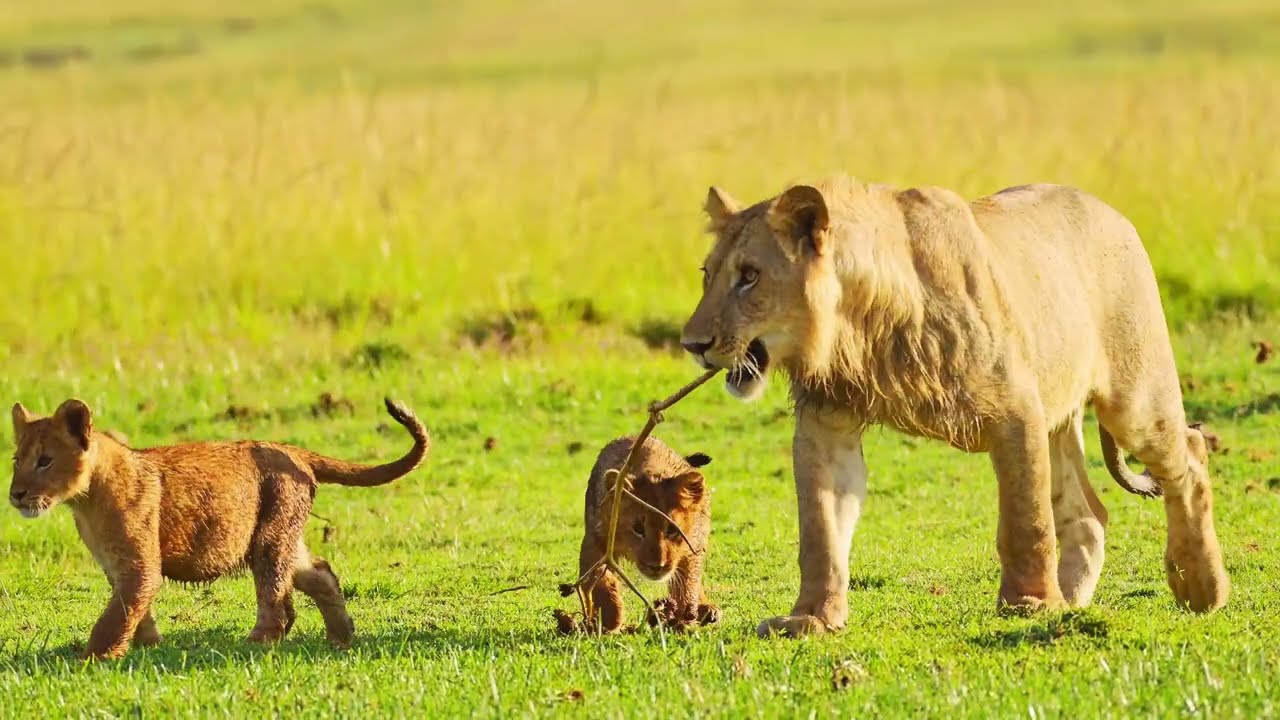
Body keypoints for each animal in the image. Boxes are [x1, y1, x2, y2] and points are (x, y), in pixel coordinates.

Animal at [8, 397, 430, 655]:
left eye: (45, 460)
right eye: (16, 460)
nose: (15, 494)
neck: (85, 499)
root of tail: (294, 451)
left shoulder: (138, 564)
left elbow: (117, 614)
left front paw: (93, 658)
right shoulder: (115, 564)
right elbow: (132, 608)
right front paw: (148, 645)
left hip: (271, 537)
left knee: (277, 601)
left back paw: (257, 641)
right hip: (286, 537)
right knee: (321, 574)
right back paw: (340, 637)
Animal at [570, 435, 721, 630]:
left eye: (672, 530)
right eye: (638, 529)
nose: (657, 566)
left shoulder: (691, 547)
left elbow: (687, 583)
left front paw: (685, 618)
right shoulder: (595, 539)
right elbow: (598, 578)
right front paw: (611, 617)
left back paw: (707, 609)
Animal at [680, 176, 1228, 635]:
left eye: (749, 276)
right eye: (707, 274)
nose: (692, 344)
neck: (861, 325)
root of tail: (1111, 211)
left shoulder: (1016, 410)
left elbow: (1025, 521)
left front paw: (1030, 604)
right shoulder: (827, 423)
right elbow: (820, 529)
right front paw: (812, 617)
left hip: (1133, 397)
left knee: (1190, 454)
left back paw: (1200, 586)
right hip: (1060, 412)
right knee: (1088, 513)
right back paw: (1073, 602)